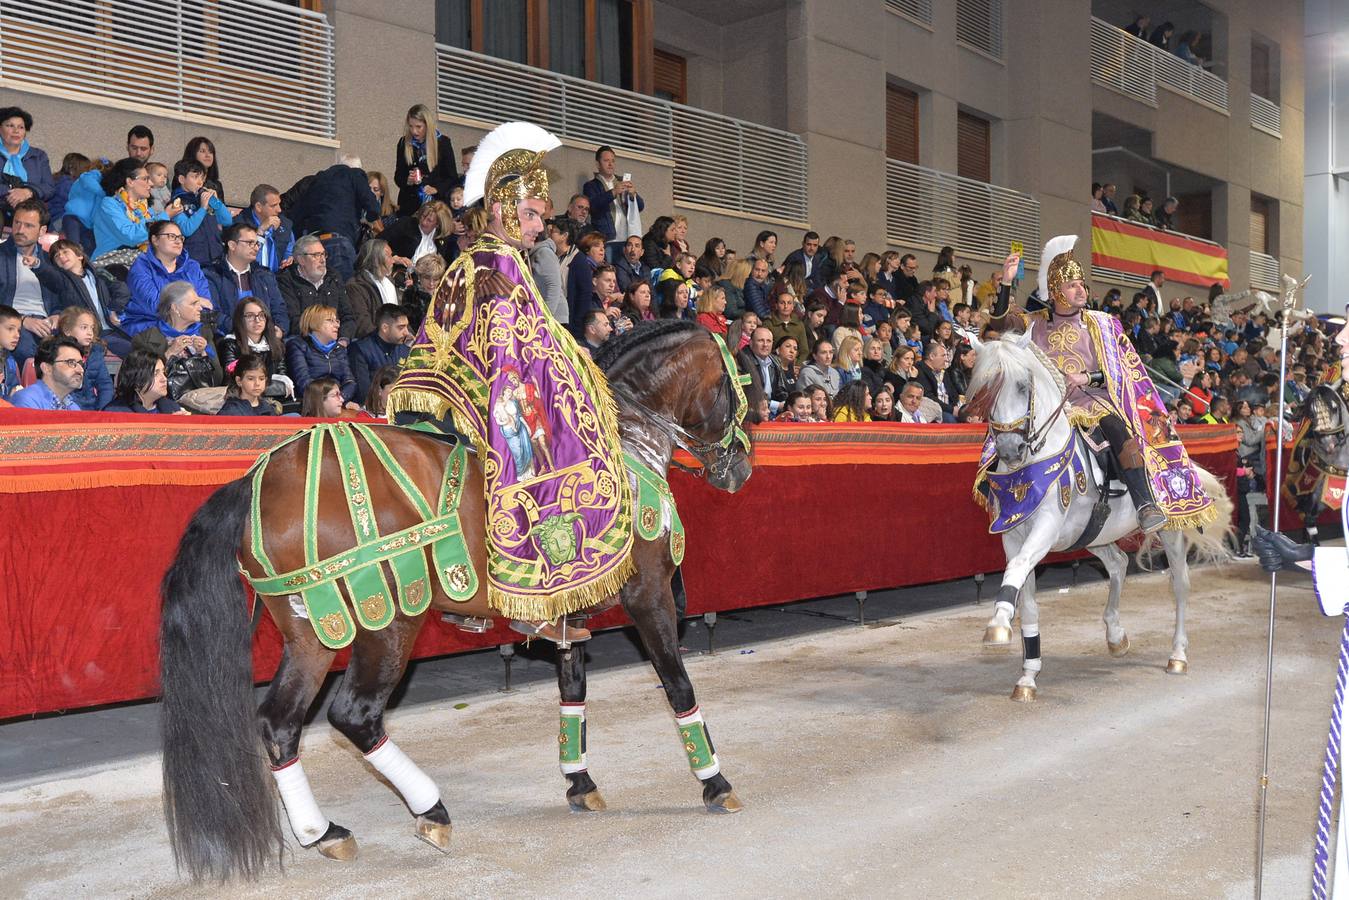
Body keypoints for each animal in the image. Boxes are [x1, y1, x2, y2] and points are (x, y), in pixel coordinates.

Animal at [157, 319, 760, 885]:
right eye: (735, 385)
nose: (740, 467)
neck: (624, 444)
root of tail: (261, 479)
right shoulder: (650, 595)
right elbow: (678, 685)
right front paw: (715, 782)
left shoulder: (568, 615)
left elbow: (573, 693)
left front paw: (580, 782)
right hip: (387, 623)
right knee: (355, 714)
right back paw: (430, 809)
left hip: (313, 632)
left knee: (279, 724)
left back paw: (322, 832)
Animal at [971, 333, 1235, 701]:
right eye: (985, 391)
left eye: (1023, 385)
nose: (1010, 450)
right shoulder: (1013, 535)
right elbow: (1026, 594)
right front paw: (1027, 675)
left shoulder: (1045, 528)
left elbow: (1019, 568)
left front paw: (998, 625)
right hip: (1096, 534)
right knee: (1118, 564)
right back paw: (1115, 636)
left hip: (1170, 531)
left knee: (1179, 585)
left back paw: (1178, 656)